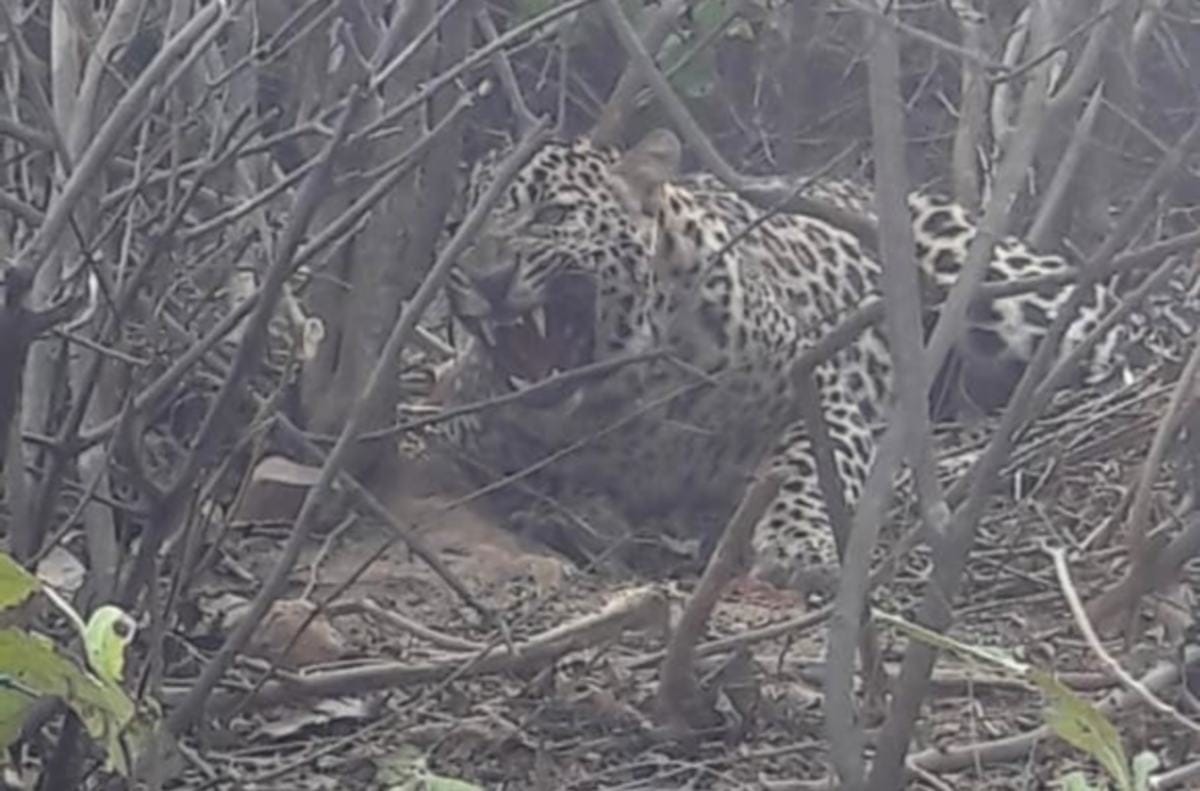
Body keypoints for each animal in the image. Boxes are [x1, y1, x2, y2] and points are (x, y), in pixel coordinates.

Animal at [432, 128, 1127, 594]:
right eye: (455, 231)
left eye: (552, 214)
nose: (487, 278)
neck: (621, 399)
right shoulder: (465, 427)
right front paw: (575, 514)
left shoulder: (818, 384)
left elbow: (806, 469)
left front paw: (799, 547)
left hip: (996, 281)